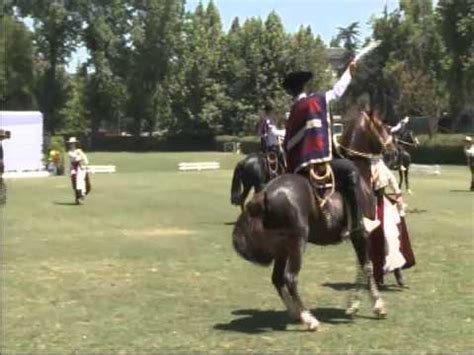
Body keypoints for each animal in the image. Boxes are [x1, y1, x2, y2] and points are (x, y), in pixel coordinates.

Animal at [231, 110, 390, 330]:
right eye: (381, 125)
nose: (392, 149)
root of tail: (265, 194)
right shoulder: (361, 232)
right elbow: (366, 265)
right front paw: (377, 305)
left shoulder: (358, 236)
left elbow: (361, 265)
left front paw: (354, 304)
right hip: (297, 242)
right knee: (290, 278)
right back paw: (309, 318)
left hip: (282, 247)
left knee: (277, 279)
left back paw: (295, 313)